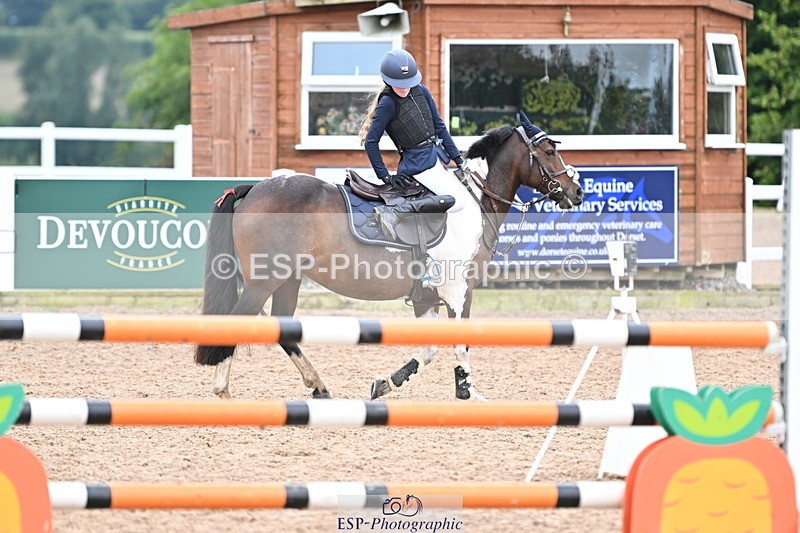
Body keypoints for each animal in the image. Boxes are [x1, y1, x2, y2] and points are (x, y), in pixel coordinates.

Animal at [195, 111, 584, 401]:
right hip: (264, 281)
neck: (475, 198)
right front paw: (468, 393)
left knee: (284, 331)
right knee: (237, 322)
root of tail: (253, 189)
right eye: (549, 151)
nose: (577, 191)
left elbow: (429, 350)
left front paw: (387, 382)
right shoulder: (458, 292)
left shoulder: (427, 297)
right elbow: (459, 345)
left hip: (288, 279)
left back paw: (318, 385)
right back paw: (222, 389)